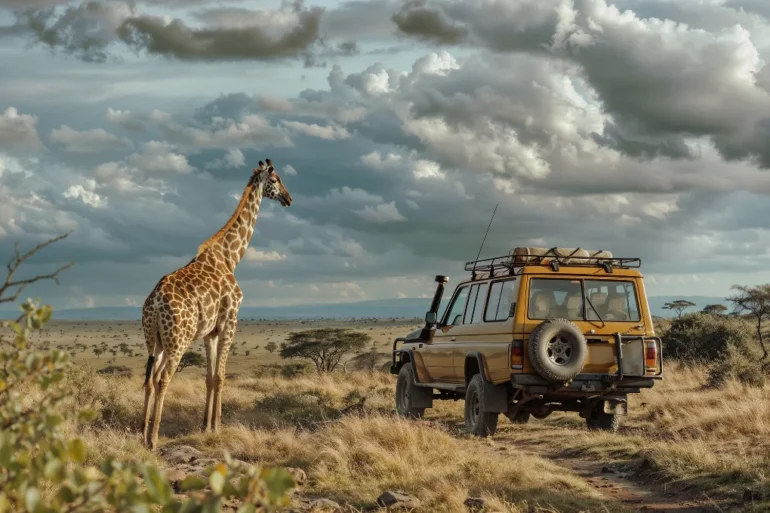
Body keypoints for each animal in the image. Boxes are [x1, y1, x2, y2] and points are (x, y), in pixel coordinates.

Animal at [140, 158, 292, 449]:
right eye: (276, 179)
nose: (288, 198)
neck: (230, 257)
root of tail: (153, 305)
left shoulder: (209, 332)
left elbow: (209, 378)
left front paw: (205, 426)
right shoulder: (230, 321)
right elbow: (221, 376)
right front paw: (218, 426)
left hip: (155, 340)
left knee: (150, 379)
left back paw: (140, 433)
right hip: (178, 340)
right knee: (163, 378)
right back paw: (153, 438)